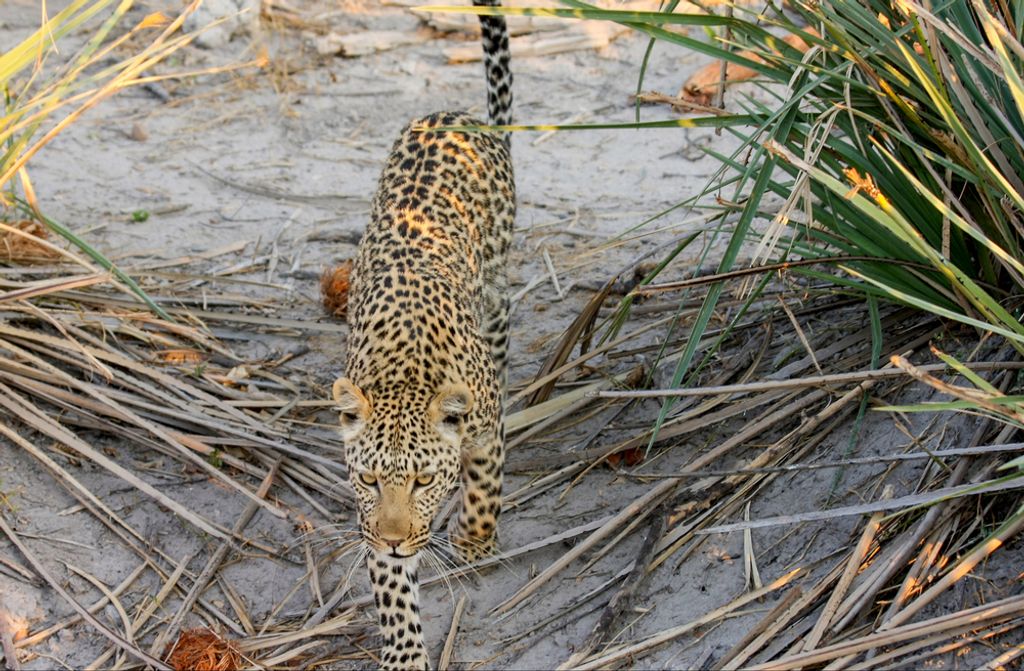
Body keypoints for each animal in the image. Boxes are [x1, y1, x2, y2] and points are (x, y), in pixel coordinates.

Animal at [330, 2, 515, 668]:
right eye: (368, 480)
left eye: (425, 481)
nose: (395, 539)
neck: (409, 370)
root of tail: (454, 114)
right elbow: (391, 591)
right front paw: (406, 651)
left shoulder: (484, 428)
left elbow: (485, 481)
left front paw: (475, 541)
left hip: (497, 276)